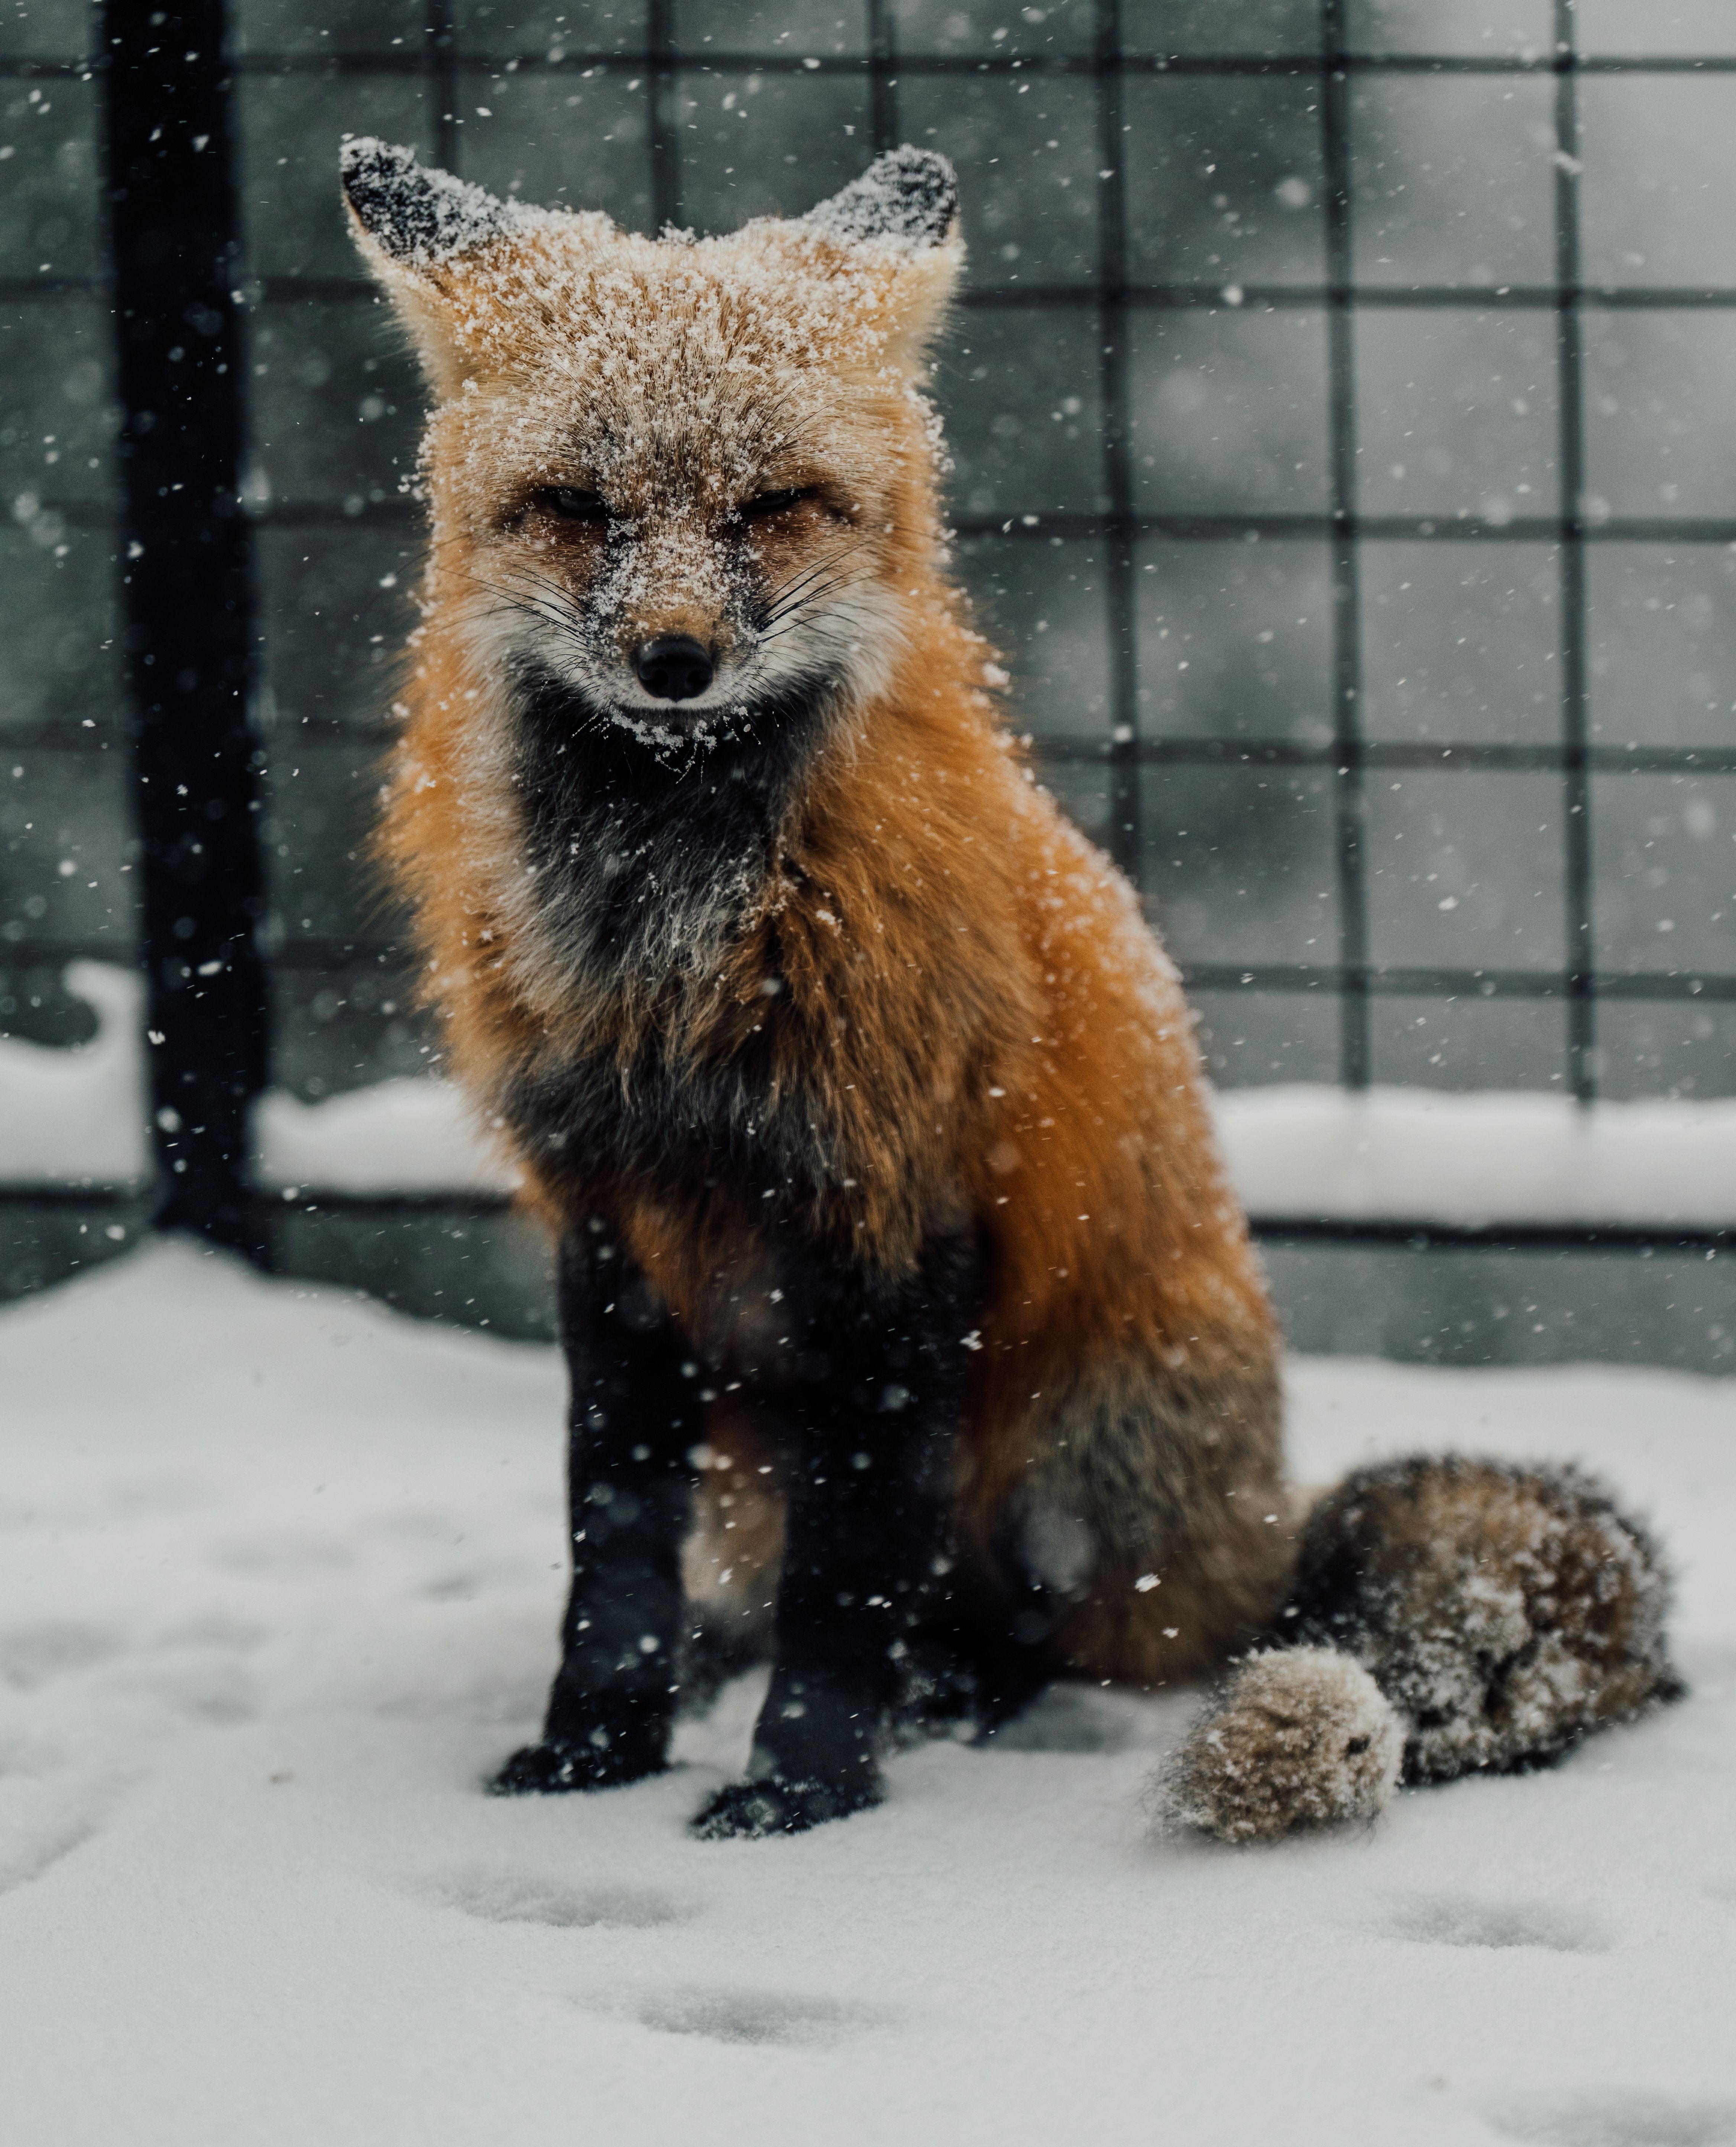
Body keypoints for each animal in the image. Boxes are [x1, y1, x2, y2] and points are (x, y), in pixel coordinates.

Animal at [340, 137, 1680, 1842]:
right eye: (577, 506)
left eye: (772, 504)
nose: (673, 660)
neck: (681, 951)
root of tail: (1263, 1537)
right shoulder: (609, 1218)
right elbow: (613, 1552)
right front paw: (592, 1749)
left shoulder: (901, 1220)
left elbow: (848, 1587)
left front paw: (802, 1786)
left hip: (1062, 1450)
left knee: (1029, 1636)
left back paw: (952, 1699)